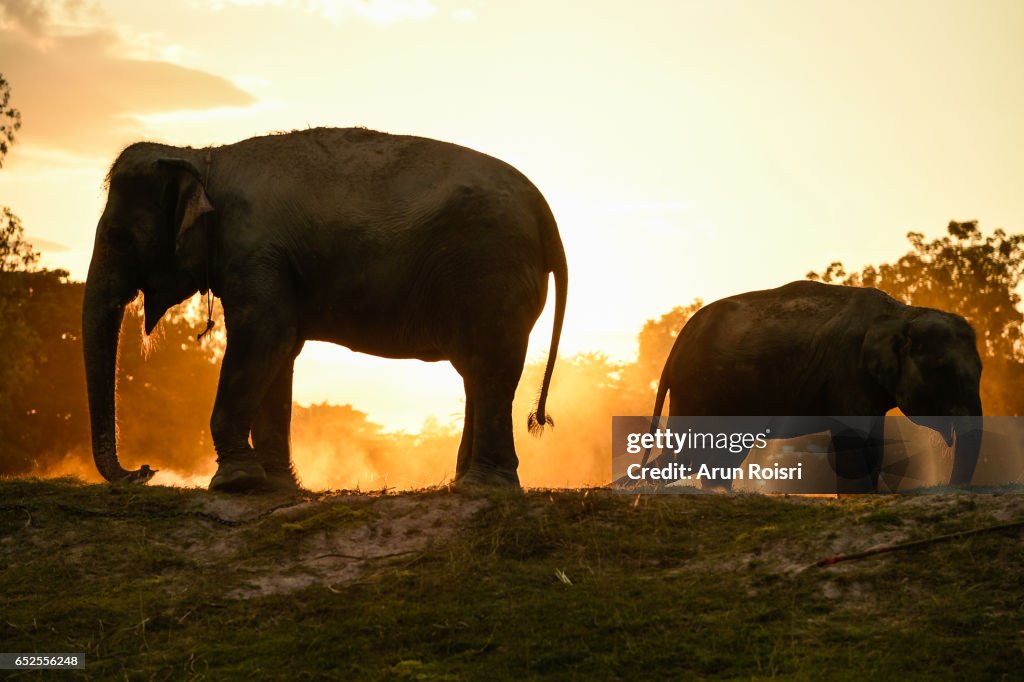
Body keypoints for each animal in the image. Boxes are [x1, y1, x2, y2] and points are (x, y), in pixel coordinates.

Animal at [83, 127, 567, 492]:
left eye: (120, 237)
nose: (144, 470)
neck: (202, 156)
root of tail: (545, 211)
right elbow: (279, 349)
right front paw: (275, 486)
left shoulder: (254, 250)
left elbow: (264, 336)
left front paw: (235, 483)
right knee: (478, 370)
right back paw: (467, 482)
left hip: (492, 268)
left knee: (487, 366)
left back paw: (481, 487)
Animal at [640, 280, 983, 493]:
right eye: (944, 371)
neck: (901, 312)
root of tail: (677, 345)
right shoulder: (846, 371)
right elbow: (851, 441)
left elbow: (874, 442)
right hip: (701, 389)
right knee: (692, 455)